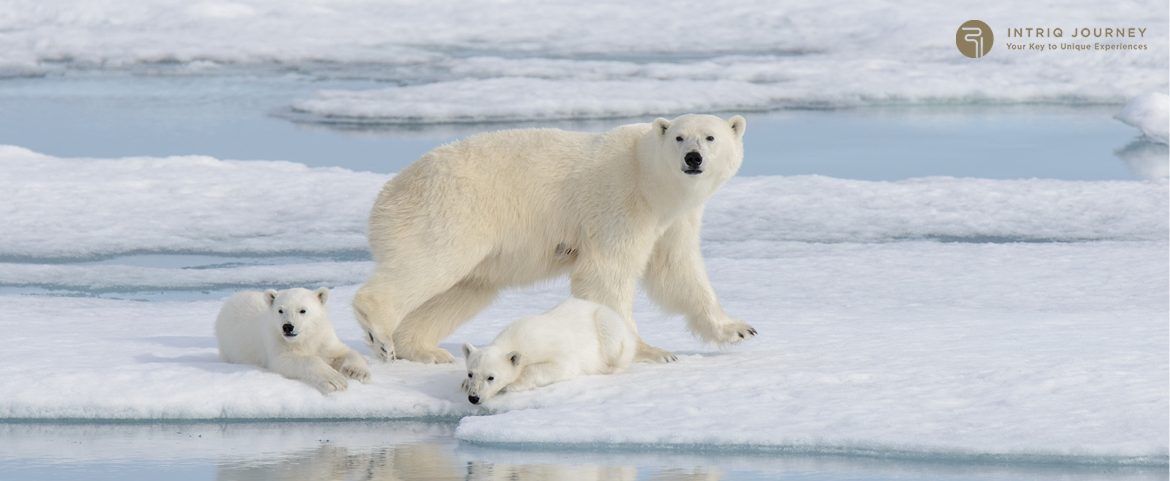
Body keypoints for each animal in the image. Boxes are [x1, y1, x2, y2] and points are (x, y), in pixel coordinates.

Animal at [215, 287, 371, 393]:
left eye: (302, 310)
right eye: (280, 310)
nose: (287, 327)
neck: (304, 339)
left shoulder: (323, 338)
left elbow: (343, 352)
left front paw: (356, 372)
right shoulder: (276, 340)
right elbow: (286, 361)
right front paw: (334, 380)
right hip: (227, 346)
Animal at [352, 113, 757, 365]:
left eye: (711, 137)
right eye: (678, 137)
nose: (693, 158)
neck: (648, 178)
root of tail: (388, 194)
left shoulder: (674, 220)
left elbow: (677, 270)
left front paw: (738, 328)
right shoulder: (619, 204)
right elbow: (607, 273)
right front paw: (651, 351)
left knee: (463, 290)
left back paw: (425, 349)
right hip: (453, 212)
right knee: (432, 262)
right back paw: (380, 332)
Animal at [459, 298, 637, 404]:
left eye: (491, 377)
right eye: (470, 373)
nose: (473, 397)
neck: (516, 338)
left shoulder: (547, 347)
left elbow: (561, 366)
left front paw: (512, 385)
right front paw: (464, 384)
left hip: (607, 326)